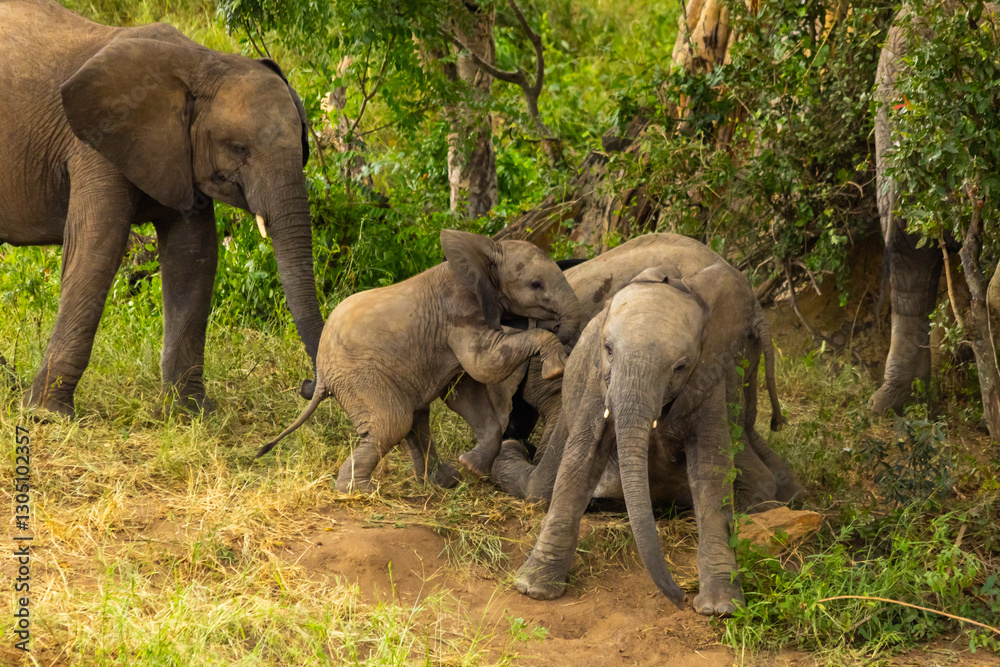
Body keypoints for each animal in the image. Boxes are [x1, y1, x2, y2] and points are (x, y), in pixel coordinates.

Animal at [0, 0, 326, 417]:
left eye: (302, 141)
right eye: (239, 148)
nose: (306, 386)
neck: (201, 61)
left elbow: (194, 256)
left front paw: (191, 412)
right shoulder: (95, 143)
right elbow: (96, 251)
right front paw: (46, 414)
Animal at [258, 229, 583, 493]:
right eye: (536, 284)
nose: (559, 326)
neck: (485, 250)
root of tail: (321, 374)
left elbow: (464, 393)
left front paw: (471, 467)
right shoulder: (459, 313)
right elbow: (485, 366)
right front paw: (556, 368)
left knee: (415, 420)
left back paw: (443, 482)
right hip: (359, 377)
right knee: (394, 422)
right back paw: (361, 490)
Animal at [512, 263, 798, 616]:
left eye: (680, 366)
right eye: (608, 349)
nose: (680, 598)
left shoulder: (709, 380)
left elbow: (711, 469)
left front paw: (719, 608)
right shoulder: (595, 382)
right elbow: (581, 459)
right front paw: (532, 589)